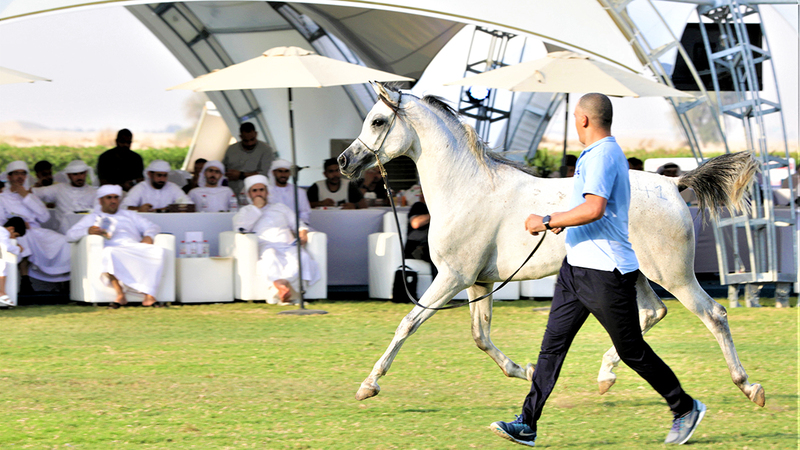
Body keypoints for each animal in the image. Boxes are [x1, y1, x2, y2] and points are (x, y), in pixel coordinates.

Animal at [338, 81, 764, 408]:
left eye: (378, 121)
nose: (344, 161)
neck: (467, 188)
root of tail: (673, 183)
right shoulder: (479, 281)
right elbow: (480, 336)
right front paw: (525, 371)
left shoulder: (452, 277)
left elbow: (408, 323)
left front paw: (368, 385)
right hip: (639, 273)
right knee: (652, 313)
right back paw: (605, 376)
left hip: (673, 274)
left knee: (713, 315)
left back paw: (749, 386)